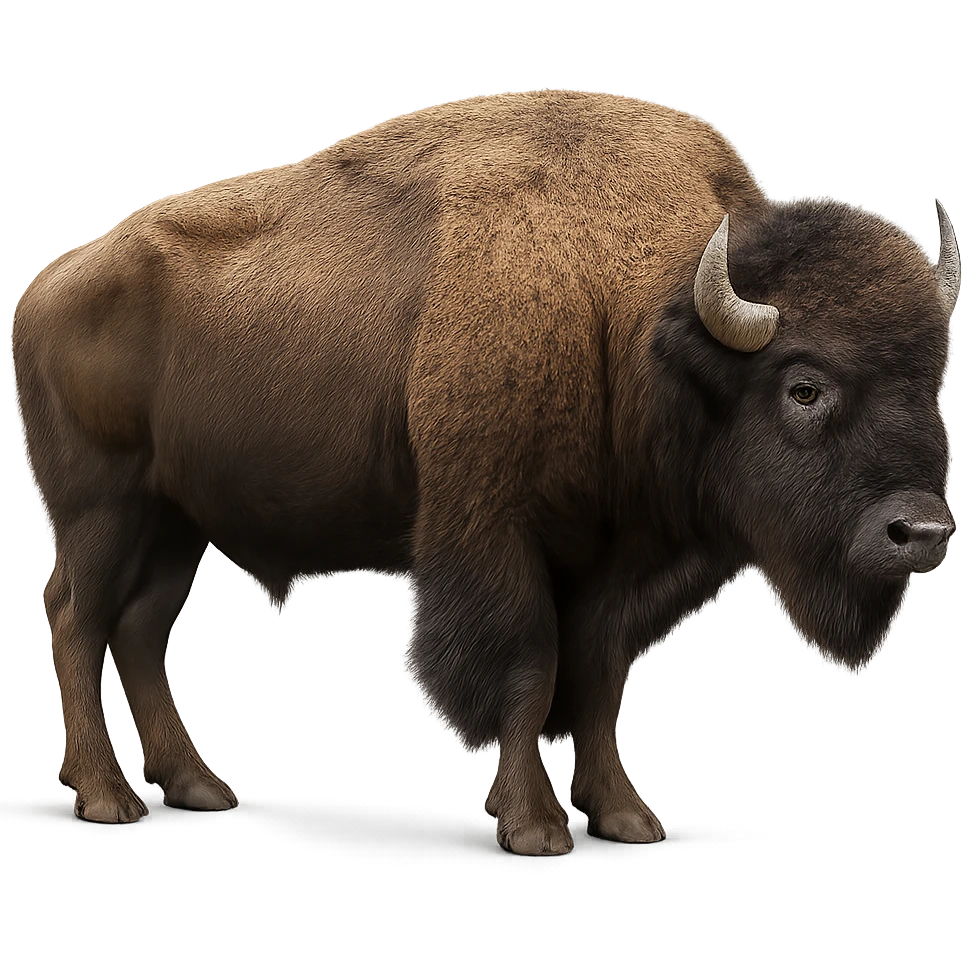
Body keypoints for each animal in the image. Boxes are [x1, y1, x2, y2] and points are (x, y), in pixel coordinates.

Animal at [11, 88, 958, 856]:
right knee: (76, 621)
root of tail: (46, 287)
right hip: (102, 514)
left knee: (138, 632)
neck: (629, 314)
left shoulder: (617, 561)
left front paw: (624, 816)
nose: (921, 531)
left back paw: (199, 786)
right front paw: (534, 827)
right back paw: (109, 798)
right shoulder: (494, 531)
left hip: (176, 525)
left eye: (931, 382)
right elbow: (527, 670)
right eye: (804, 385)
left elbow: (598, 676)